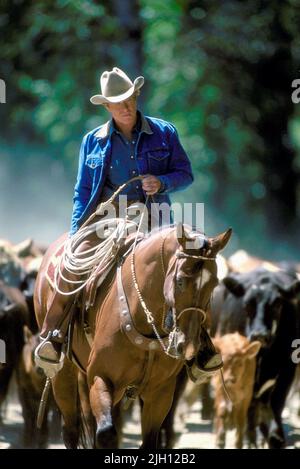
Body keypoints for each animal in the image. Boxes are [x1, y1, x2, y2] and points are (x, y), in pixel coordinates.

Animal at [34, 223, 231, 446]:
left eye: (214, 284)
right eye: (180, 281)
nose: (185, 345)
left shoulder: (160, 392)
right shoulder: (101, 377)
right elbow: (106, 434)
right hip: (64, 373)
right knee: (71, 429)